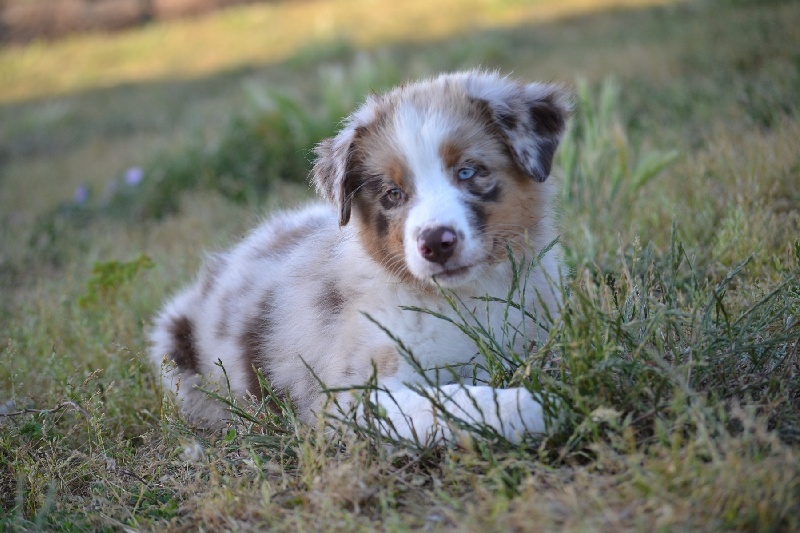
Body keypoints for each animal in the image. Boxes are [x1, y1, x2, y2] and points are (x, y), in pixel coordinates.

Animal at [150, 70, 572, 444]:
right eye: (393, 194)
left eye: (468, 172)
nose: (436, 243)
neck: (465, 298)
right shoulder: (351, 395)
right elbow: (450, 401)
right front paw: (534, 406)